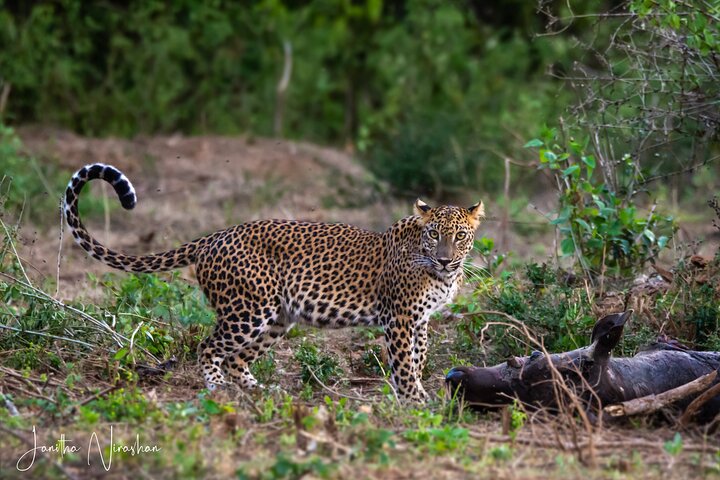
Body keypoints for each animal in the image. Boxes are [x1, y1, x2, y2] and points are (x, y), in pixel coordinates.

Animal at [63, 163, 485, 402]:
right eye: (434, 234)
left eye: (460, 236)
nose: (445, 259)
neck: (438, 272)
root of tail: (213, 237)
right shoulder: (398, 317)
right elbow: (405, 361)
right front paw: (414, 400)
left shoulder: (420, 320)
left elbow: (418, 356)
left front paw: (411, 392)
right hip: (249, 310)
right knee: (208, 347)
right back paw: (218, 390)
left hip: (277, 318)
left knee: (237, 358)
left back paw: (260, 392)